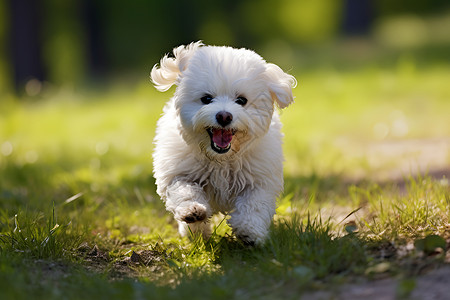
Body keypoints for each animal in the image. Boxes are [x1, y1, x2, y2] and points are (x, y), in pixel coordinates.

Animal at [152, 41, 296, 244]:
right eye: (206, 99)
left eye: (241, 100)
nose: (224, 116)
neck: (221, 159)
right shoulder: (178, 172)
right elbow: (184, 191)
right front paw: (192, 211)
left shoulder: (259, 181)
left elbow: (253, 205)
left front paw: (249, 231)